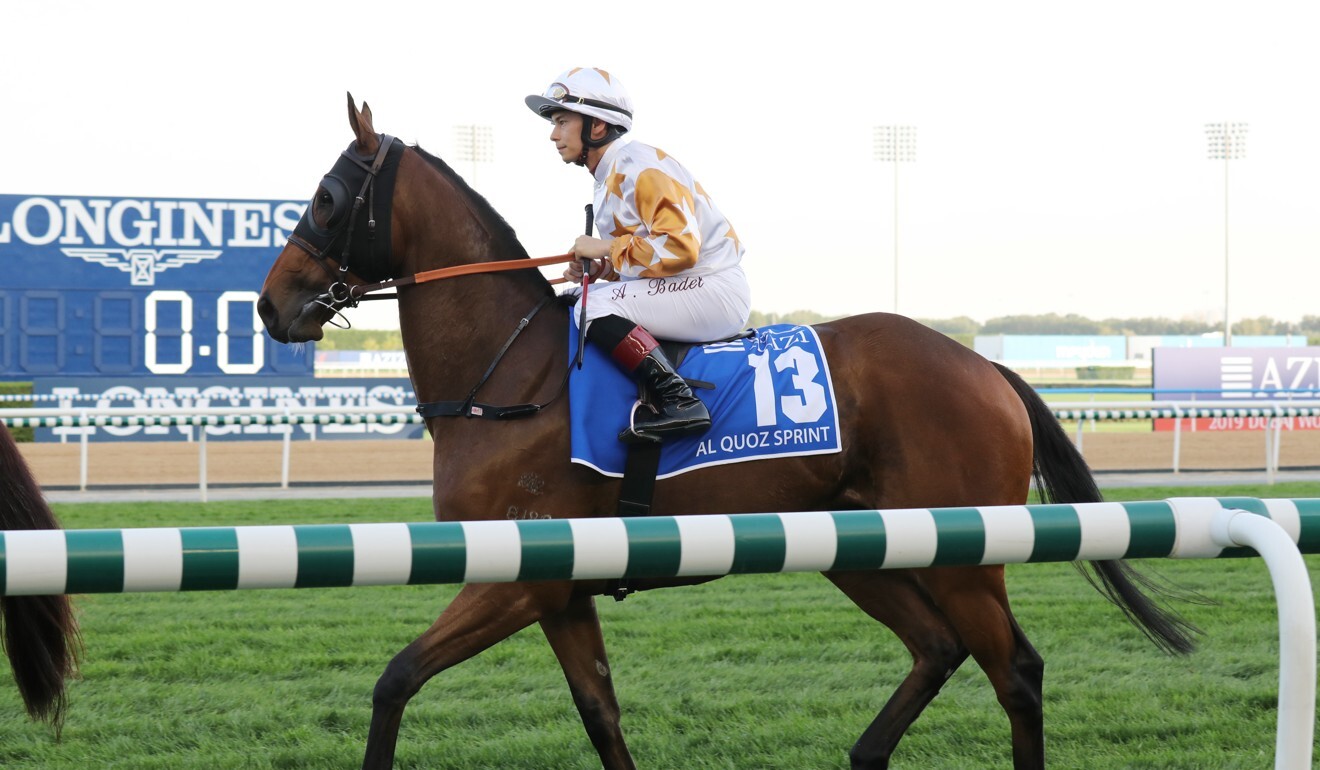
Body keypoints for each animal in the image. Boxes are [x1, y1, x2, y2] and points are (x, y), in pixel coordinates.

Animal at [252, 97, 1193, 770]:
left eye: (326, 199)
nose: (269, 304)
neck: (506, 375)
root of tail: (984, 367)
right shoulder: (560, 588)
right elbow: (600, 713)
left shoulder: (519, 580)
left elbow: (395, 679)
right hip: (861, 546)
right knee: (938, 647)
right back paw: (862, 755)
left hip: (967, 556)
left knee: (1016, 673)